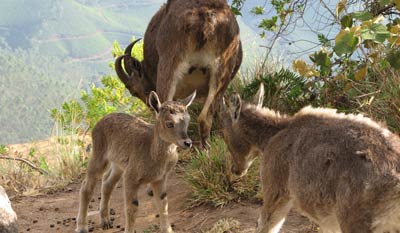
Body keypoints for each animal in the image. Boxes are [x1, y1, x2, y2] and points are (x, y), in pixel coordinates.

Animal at [76, 90, 196, 232]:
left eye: (188, 120)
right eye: (169, 123)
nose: (187, 142)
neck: (151, 153)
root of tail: (99, 122)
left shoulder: (160, 178)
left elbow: (163, 204)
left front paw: (168, 230)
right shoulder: (131, 177)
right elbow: (132, 208)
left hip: (119, 165)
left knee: (107, 183)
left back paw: (105, 221)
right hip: (99, 154)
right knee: (86, 187)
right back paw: (82, 227)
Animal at [219, 87, 400, 233]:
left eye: (224, 134)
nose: (236, 170)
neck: (273, 135)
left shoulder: (276, 187)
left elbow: (266, 225)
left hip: (356, 220)